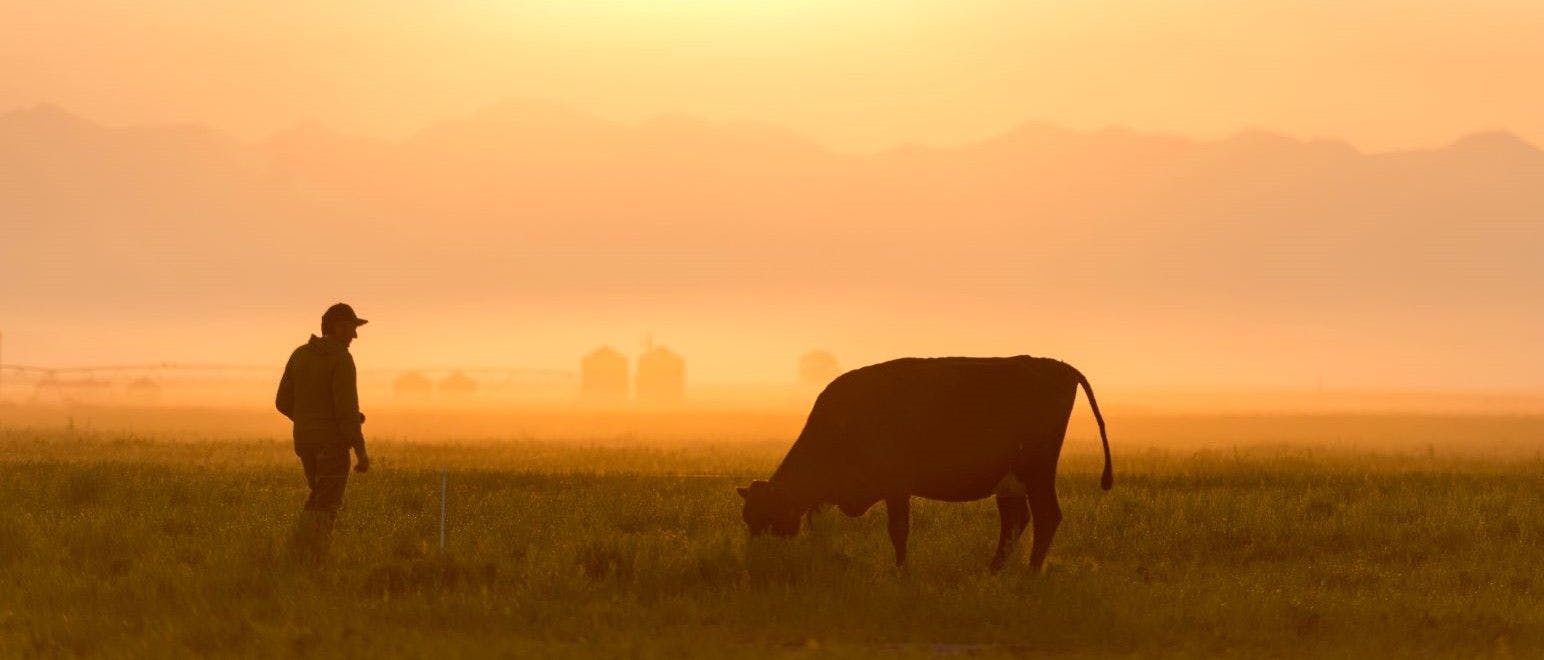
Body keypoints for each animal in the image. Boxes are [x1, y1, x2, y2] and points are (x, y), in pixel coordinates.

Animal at [738, 357, 1111, 574]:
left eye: (766, 517)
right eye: (747, 519)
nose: (756, 559)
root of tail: (1058, 366)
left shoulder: (896, 488)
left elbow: (898, 531)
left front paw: (901, 571)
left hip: (1036, 472)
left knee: (1046, 516)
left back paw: (1030, 574)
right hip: (1011, 482)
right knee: (1016, 521)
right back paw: (993, 571)